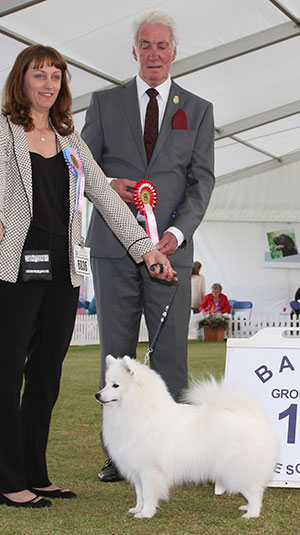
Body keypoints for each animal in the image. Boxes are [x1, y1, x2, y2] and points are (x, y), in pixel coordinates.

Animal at [96, 356, 278, 520]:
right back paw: (247, 507)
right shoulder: (137, 470)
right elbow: (139, 494)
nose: (97, 395)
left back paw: (252, 513)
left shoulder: (149, 470)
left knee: (255, 492)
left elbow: (148, 494)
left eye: (115, 385)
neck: (142, 412)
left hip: (237, 469)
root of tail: (250, 416)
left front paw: (146, 513)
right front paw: (137, 508)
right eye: (106, 383)